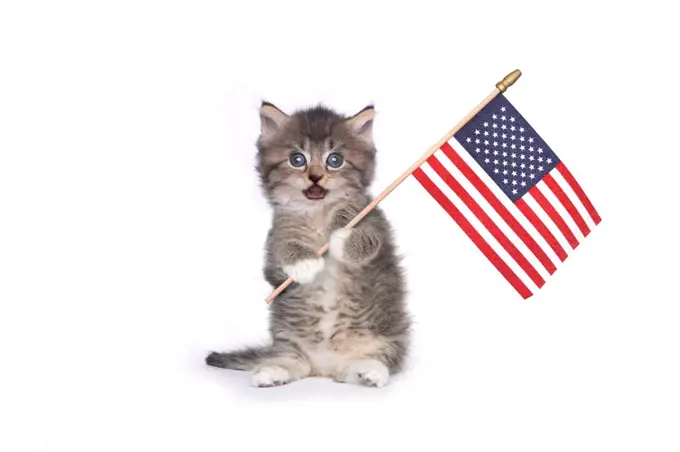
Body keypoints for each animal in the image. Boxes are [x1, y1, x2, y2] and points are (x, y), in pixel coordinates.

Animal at [205, 100, 412, 386]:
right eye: (297, 159)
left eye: (334, 160)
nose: (315, 177)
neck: (318, 213)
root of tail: (325, 369)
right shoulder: (276, 238)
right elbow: (283, 251)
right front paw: (304, 264)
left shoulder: (374, 223)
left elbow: (366, 238)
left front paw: (341, 237)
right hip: (287, 340)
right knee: (293, 362)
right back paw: (272, 372)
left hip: (387, 336)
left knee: (376, 361)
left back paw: (368, 372)